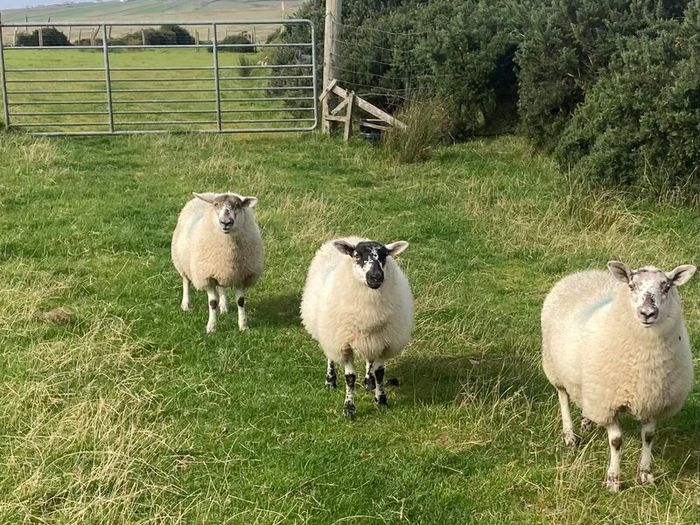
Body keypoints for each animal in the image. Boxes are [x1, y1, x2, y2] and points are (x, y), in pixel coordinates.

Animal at [171, 192, 264, 333]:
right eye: (216, 205)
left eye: (238, 205)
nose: (225, 222)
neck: (228, 253)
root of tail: (208, 193)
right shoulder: (207, 277)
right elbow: (212, 303)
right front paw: (211, 327)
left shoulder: (240, 275)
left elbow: (240, 301)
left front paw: (243, 325)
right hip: (182, 262)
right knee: (186, 281)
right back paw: (186, 304)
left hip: (220, 271)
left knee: (221, 287)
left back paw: (224, 306)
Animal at [300, 236, 413, 418]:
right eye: (357, 255)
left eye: (384, 255)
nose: (376, 277)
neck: (369, 314)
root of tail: (352, 237)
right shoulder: (344, 345)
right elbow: (350, 377)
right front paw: (349, 408)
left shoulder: (384, 343)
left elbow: (379, 373)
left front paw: (381, 400)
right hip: (330, 334)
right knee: (330, 357)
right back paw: (330, 381)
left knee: (370, 361)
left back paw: (369, 381)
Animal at [541, 261, 696, 492]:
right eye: (631, 285)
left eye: (667, 287)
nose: (647, 313)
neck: (645, 359)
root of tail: (582, 273)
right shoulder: (608, 402)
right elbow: (616, 441)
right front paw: (613, 480)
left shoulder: (652, 399)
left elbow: (648, 437)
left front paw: (645, 475)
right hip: (555, 369)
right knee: (563, 398)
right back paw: (569, 435)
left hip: (589, 386)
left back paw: (587, 420)